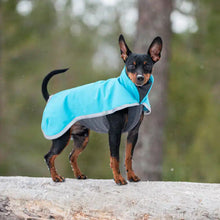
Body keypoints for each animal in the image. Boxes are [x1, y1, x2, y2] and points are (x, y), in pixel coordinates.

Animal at [40, 34, 162, 186]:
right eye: (131, 66)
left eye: (147, 65)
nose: (140, 78)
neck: (133, 92)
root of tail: (50, 97)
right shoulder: (114, 132)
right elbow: (115, 158)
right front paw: (118, 178)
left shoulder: (133, 133)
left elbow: (128, 157)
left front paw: (131, 176)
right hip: (61, 137)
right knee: (49, 156)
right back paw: (56, 177)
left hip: (82, 138)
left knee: (71, 156)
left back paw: (78, 175)